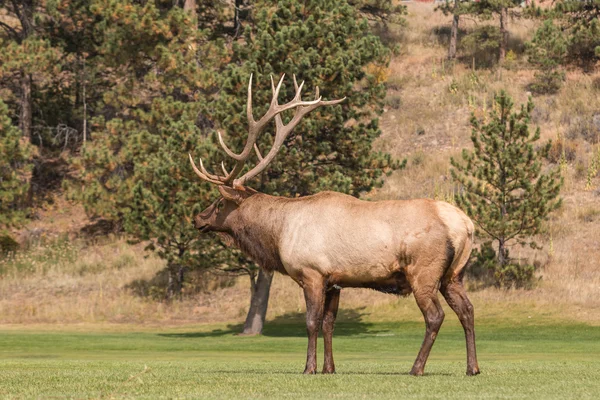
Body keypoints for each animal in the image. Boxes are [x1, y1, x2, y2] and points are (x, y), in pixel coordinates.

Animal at [190, 74, 480, 376]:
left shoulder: (312, 273)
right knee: (468, 310)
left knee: (435, 316)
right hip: (454, 274)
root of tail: (465, 225)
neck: (278, 235)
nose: (197, 218)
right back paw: (472, 367)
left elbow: (311, 322)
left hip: (424, 271)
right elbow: (329, 323)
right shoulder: (334, 282)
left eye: (219, 203)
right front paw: (329, 368)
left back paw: (417, 368)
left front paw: (309, 368)